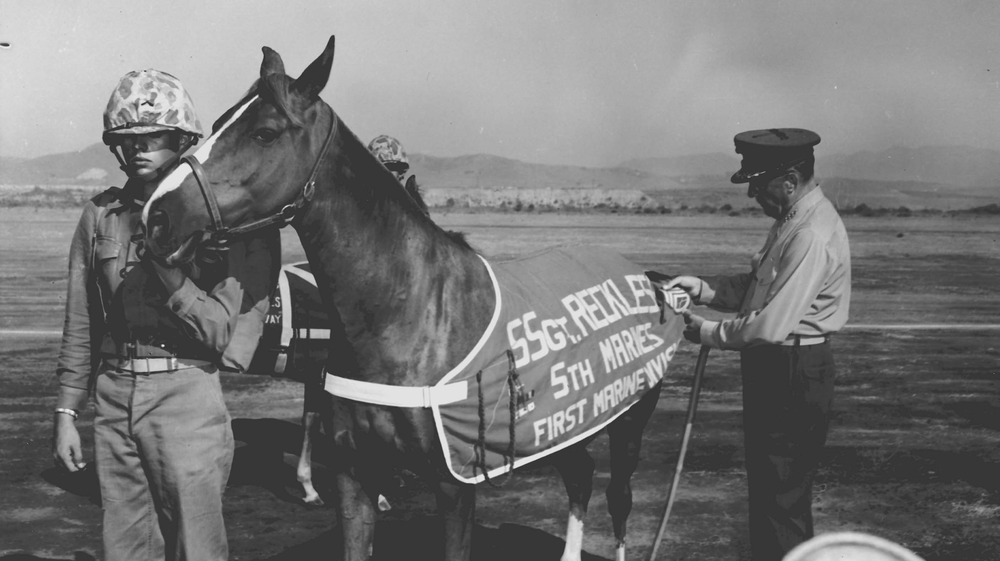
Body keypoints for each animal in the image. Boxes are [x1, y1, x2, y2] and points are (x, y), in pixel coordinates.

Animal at [143, 37, 688, 556]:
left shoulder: (455, 484)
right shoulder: (354, 474)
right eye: (217, 123)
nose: (157, 214)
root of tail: (649, 280)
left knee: (617, 497)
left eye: (265, 132)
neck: (408, 317)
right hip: (565, 422)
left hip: (629, 422)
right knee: (579, 475)